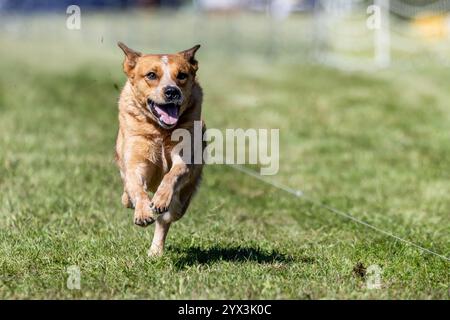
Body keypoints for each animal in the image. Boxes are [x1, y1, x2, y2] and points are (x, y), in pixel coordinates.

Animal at [115, 42, 205, 256]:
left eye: (182, 75)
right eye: (151, 75)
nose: (172, 91)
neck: (160, 132)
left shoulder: (184, 156)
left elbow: (174, 173)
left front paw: (160, 200)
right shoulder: (136, 160)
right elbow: (136, 186)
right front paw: (142, 212)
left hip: (181, 202)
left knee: (165, 220)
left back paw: (155, 251)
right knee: (127, 190)